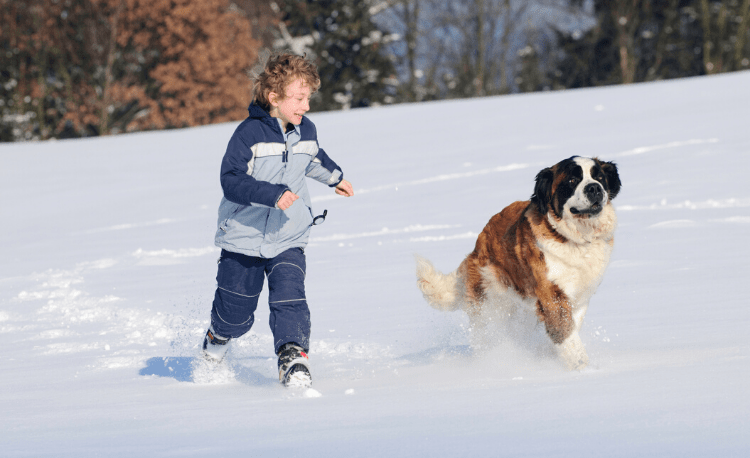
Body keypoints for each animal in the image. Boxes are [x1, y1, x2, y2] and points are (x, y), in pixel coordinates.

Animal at [418, 156, 624, 370]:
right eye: (572, 180)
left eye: (599, 177)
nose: (594, 188)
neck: (574, 238)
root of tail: (476, 248)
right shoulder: (552, 296)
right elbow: (566, 334)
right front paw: (582, 367)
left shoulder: (580, 296)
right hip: (490, 306)